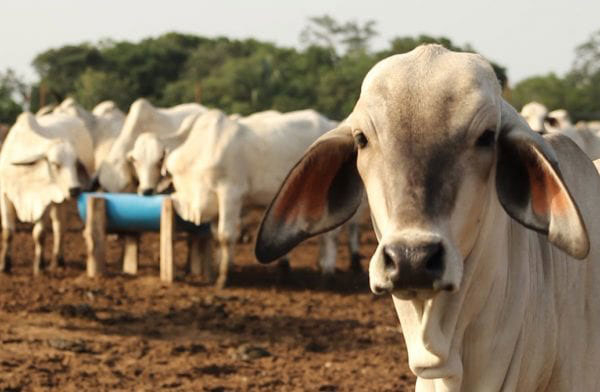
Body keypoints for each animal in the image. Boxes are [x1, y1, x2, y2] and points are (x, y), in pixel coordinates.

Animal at [0, 111, 94, 276]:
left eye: (76, 164)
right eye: (55, 164)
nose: (75, 190)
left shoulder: (44, 201)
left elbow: (40, 234)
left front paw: (39, 267)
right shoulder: (4, 196)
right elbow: (8, 233)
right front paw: (5, 266)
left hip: (60, 200)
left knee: (59, 227)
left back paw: (58, 261)